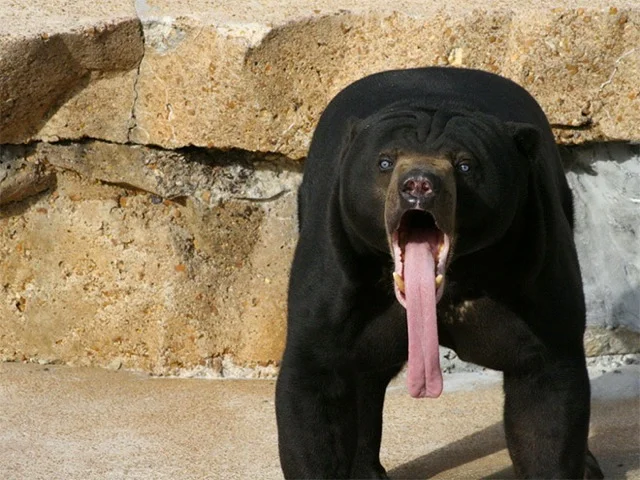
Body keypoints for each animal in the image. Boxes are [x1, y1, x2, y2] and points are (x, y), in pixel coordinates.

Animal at [275, 67, 604, 479]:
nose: (418, 185)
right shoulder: (336, 279)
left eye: (464, 165)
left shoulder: (535, 270)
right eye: (385, 162)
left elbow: (547, 404)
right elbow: (314, 394)